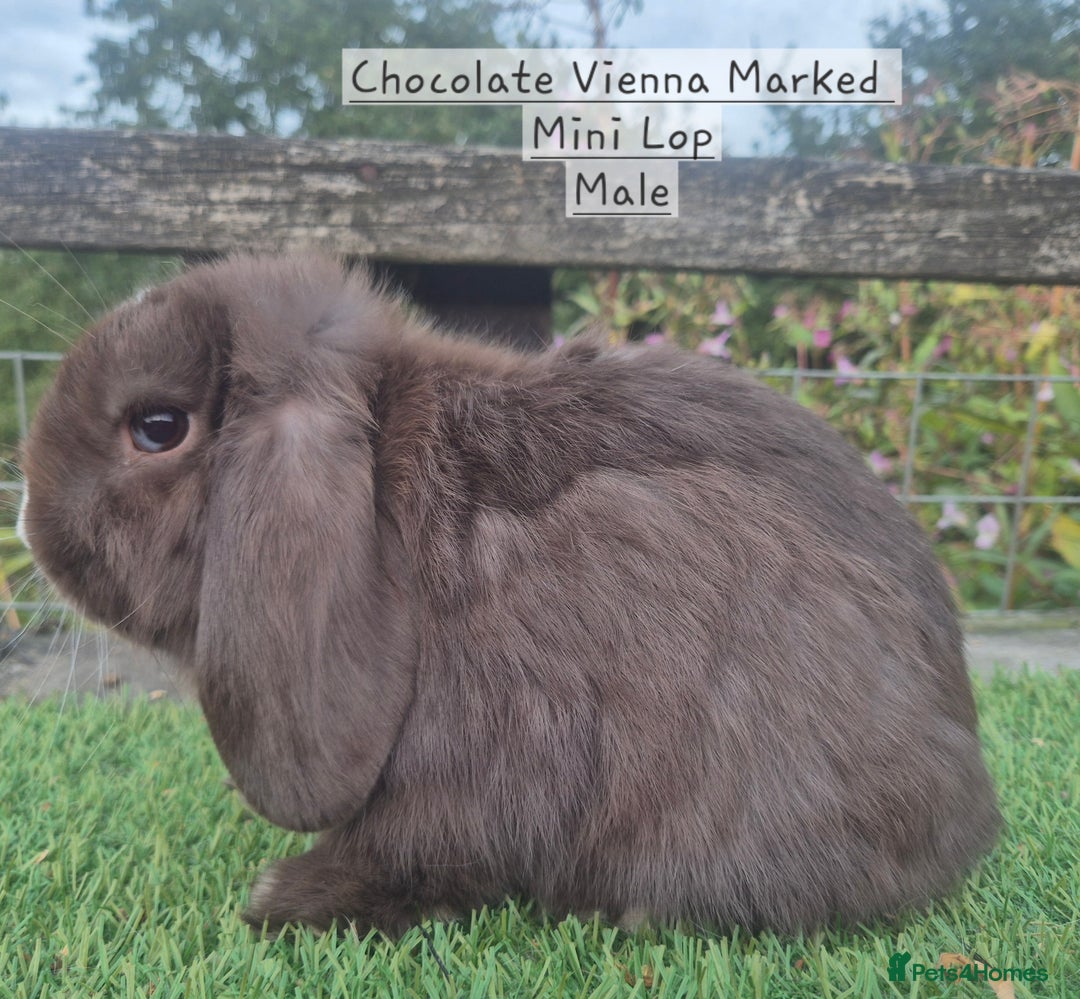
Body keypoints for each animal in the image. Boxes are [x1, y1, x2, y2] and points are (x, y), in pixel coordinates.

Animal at [19, 252, 1000, 936]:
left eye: (158, 427)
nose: (28, 522)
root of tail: (968, 812)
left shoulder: (473, 760)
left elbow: (413, 852)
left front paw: (281, 900)